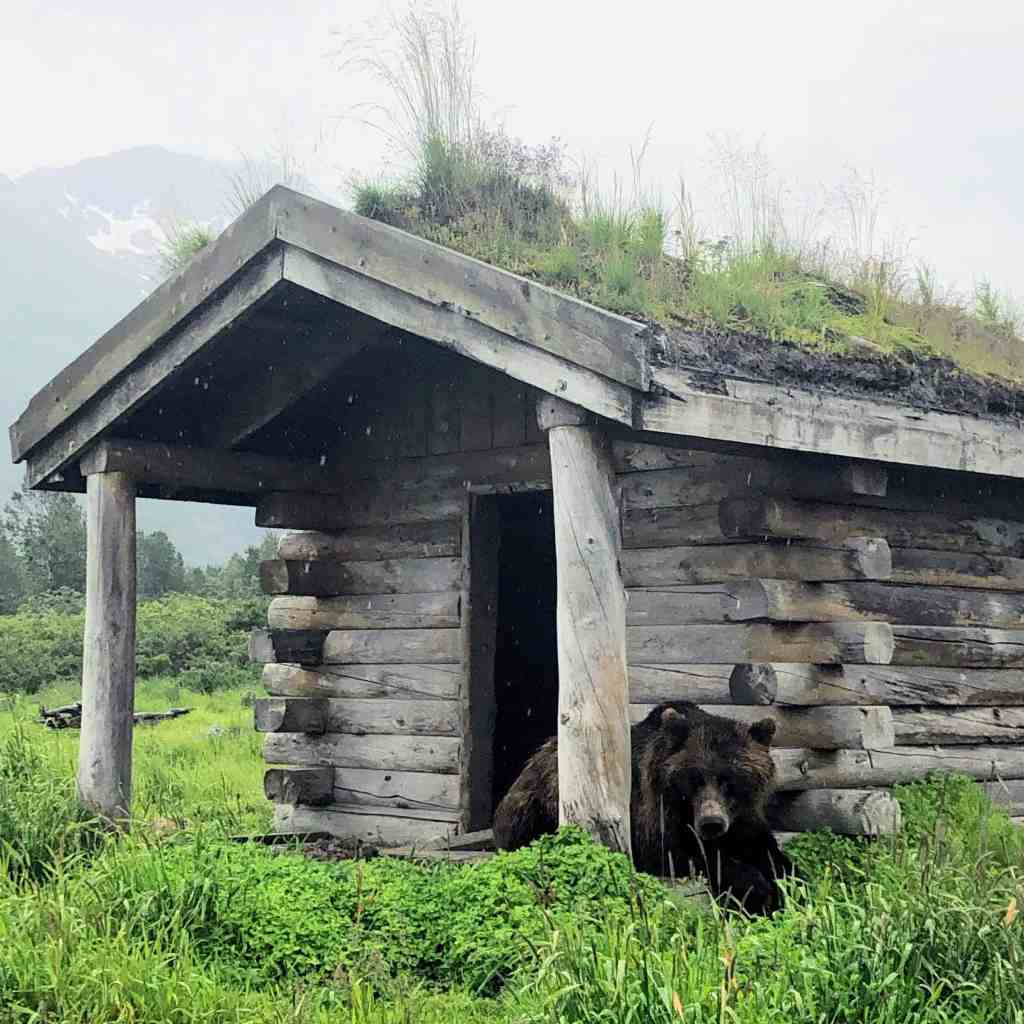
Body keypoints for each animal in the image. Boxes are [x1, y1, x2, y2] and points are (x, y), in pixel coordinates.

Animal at [492, 700, 794, 914]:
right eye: (694, 778)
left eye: (730, 779)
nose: (712, 822)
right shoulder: (653, 816)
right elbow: (680, 853)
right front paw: (756, 888)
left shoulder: (744, 820)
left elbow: (771, 854)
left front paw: (785, 882)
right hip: (536, 803)